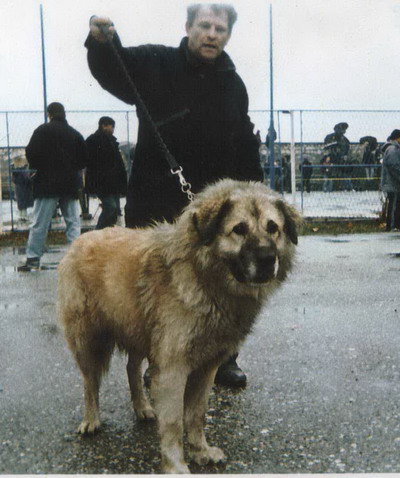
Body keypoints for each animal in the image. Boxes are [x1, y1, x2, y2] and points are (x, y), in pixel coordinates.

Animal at [57, 180, 302, 474]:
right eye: (239, 229)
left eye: (273, 228)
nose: (268, 259)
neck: (203, 276)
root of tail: (82, 238)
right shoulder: (173, 369)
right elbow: (174, 422)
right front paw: (176, 465)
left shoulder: (206, 368)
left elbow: (196, 415)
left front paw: (200, 451)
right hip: (89, 341)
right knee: (90, 382)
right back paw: (91, 419)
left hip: (138, 330)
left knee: (131, 369)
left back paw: (142, 407)